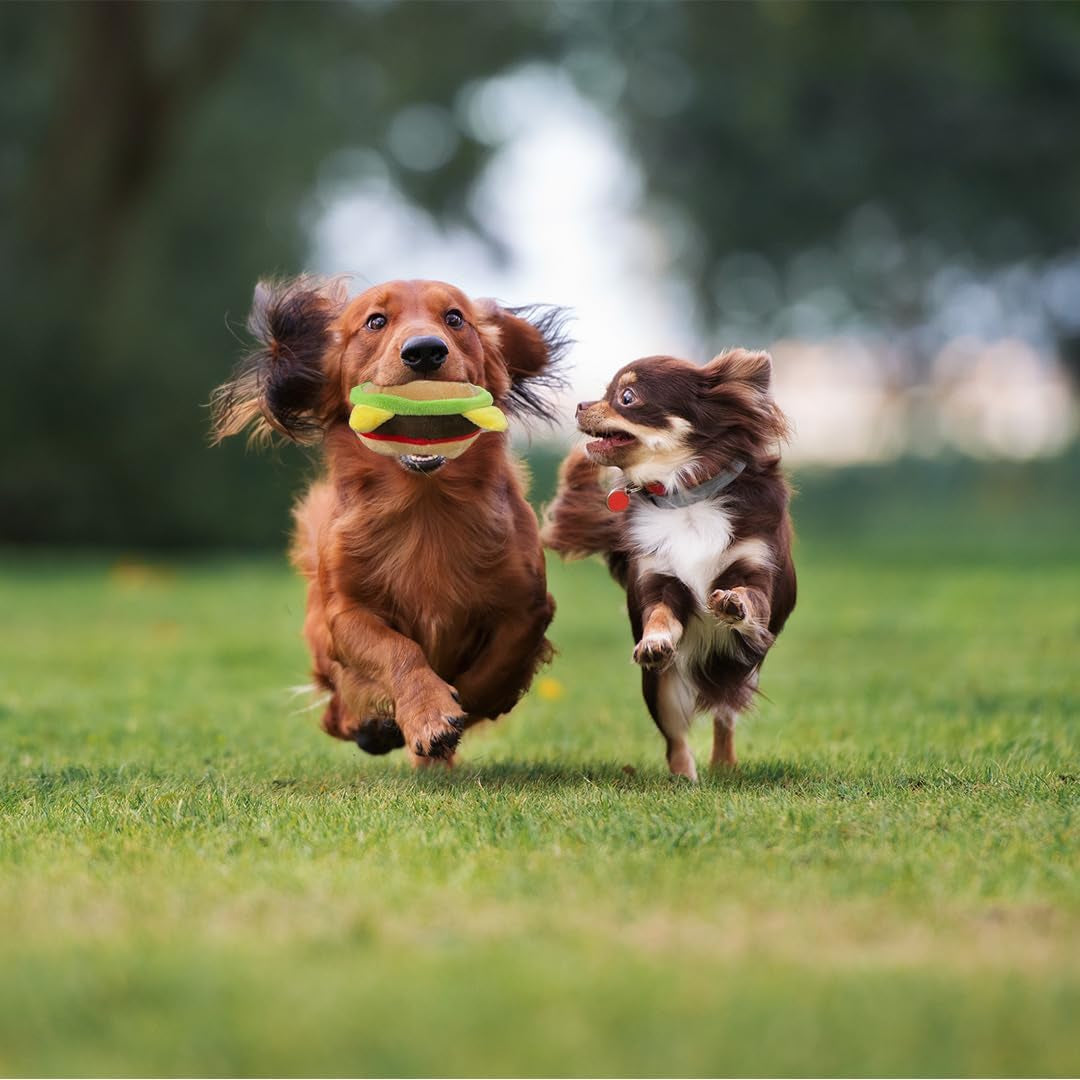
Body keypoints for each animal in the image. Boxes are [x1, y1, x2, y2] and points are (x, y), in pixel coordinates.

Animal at [208, 280, 565, 768]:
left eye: (455, 318)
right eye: (375, 321)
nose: (425, 351)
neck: (425, 505)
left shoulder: (527, 605)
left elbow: (495, 667)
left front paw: (458, 708)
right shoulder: (346, 614)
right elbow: (398, 650)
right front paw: (428, 713)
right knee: (335, 713)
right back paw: (373, 727)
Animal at [544, 349, 799, 781]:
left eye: (626, 397)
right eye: (606, 392)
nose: (580, 405)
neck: (685, 497)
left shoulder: (756, 571)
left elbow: (749, 596)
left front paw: (733, 603)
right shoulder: (659, 580)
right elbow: (661, 614)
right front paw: (655, 641)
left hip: (742, 672)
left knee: (724, 716)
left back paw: (724, 765)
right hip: (661, 689)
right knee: (676, 739)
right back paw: (684, 779)